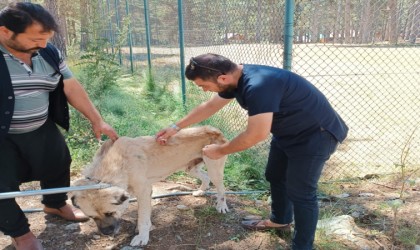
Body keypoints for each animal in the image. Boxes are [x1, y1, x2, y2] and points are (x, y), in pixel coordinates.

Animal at [72, 126, 230, 247]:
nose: (106, 233)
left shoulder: (143, 191)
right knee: (206, 177)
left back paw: (221, 206)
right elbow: (143, 216)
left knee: (221, 189)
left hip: (214, 168)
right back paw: (201, 191)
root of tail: (214, 129)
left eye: (110, 213)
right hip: (191, 168)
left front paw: (142, 237)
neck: (116, 163)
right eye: (91, 217)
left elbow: (142, 218)